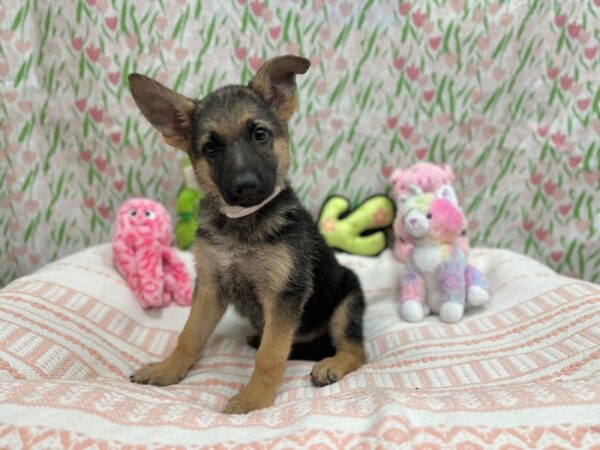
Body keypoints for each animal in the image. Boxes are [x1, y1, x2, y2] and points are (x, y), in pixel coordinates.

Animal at [127, 56, 366, 414]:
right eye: (211, 147)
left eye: (260, 134)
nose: (246, 186)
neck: (242, 224)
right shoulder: (210, 286)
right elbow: (190, 335)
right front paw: (169, 368)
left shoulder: (284, 293)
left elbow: (270, 355)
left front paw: (254, 398)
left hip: (347, 300)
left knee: (356, 350)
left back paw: (332, 363)